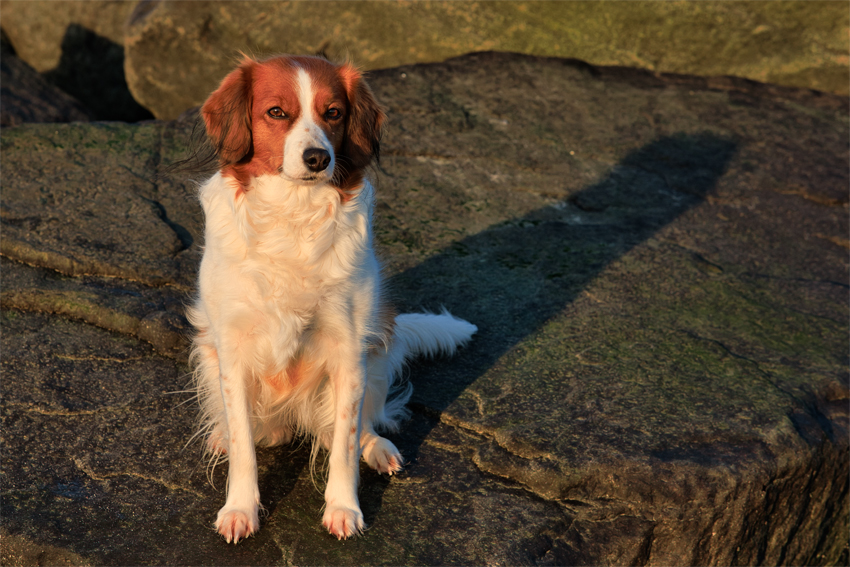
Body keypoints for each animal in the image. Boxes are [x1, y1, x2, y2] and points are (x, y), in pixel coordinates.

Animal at [186, 55, 474, 544]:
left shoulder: (349, 349)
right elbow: (244, 445)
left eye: (333, 113)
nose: (318, 158)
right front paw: (240, 508)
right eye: (276, 112)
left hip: (379, 350)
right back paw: (225, 434)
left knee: (362, 424)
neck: (293, 215)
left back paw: (378, 449)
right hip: (210, 353)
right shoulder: (233, 348)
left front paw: (343, 508)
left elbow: (343, 442)